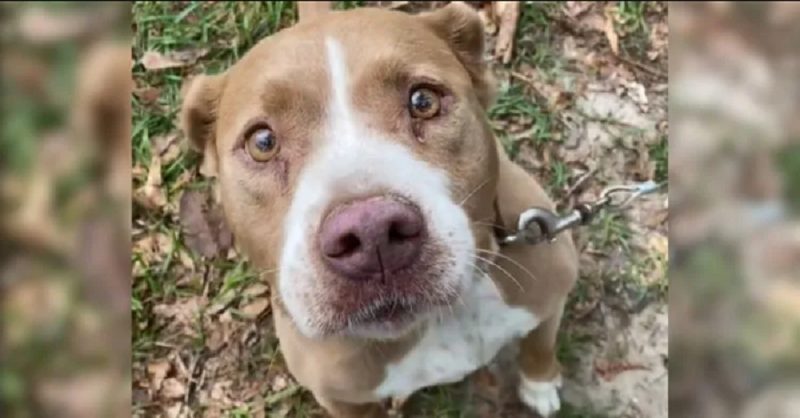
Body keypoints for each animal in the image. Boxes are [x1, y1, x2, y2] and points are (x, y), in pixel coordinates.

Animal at [180, 4, 576, 418]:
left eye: (423, 101)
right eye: (262, 142)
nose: (372, 234)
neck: (440, 321)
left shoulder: (550, 295)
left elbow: (539, 344)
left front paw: (540, 384)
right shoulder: (341, 397)